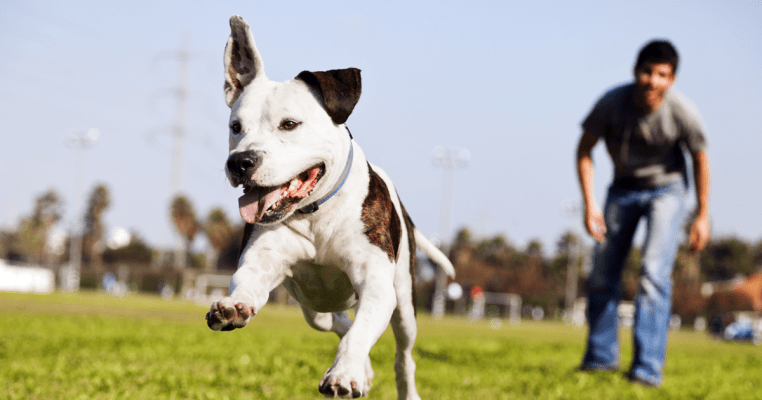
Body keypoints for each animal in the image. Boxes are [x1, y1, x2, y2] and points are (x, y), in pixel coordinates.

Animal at [205, 15, 454, 400]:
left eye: (289, 124)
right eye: (236, 127)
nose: (240, 162)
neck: (315, 213)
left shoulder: (376, 284)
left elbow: (361, 333)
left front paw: (344, 374)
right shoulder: (261, 262)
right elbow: (247, 282)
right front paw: (233, 307)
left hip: (404, 303)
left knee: (402, 355)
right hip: (314, 308)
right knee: (336, 321)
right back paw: (365, 370)